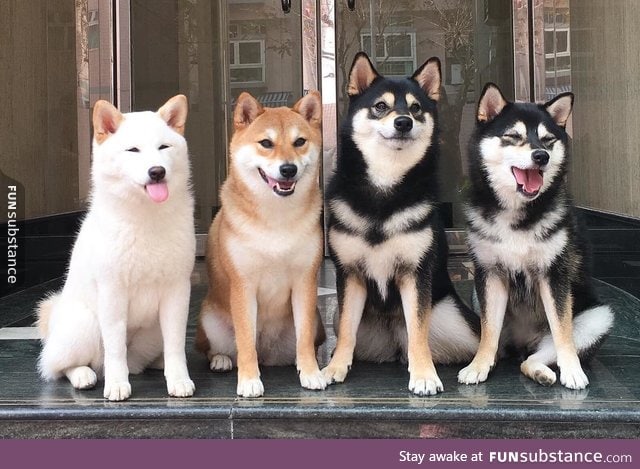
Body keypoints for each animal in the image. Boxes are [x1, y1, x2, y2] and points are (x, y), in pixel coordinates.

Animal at [38, 95, 195, 398]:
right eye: (133, 150)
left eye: (163, 147)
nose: (157, 171)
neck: (145, 217)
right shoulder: (112, 292)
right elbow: (114, 349)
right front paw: (117, 384)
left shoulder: (177, 291)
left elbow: (176, 345)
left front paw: (178, 379)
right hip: (85, 325)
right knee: (59, 365)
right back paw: (84, 375)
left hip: (151, 331)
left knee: (139, 359)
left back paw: (152, 364)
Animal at [195, 90, 324, 394]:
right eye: (266, 143)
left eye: (299, 142)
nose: (288, 169)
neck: (275, 216)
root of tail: (268, 354)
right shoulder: (243, 285)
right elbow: (245, 341)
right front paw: (249, 380)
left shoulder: (305, 281)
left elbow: (304, 339)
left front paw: (311, 373)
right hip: (209, 321)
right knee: (217, 348)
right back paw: (221, 360)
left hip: (316, 322)